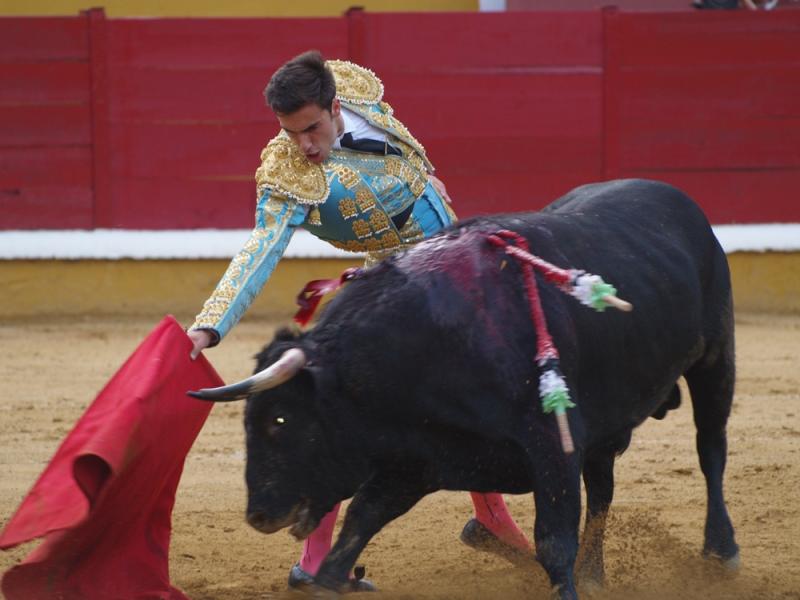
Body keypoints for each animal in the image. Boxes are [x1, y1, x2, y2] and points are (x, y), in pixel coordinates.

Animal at [191, 179, 740, 600]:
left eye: (280, 420)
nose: (258, 514)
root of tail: (677, 197)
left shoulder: (551, 444)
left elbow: (553, 543)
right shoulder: (418, 459)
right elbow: (353, 533)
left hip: (716, 359)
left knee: (710, 449)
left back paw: (721, 552)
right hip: (607, 420)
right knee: (603, 489)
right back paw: (594, 573)